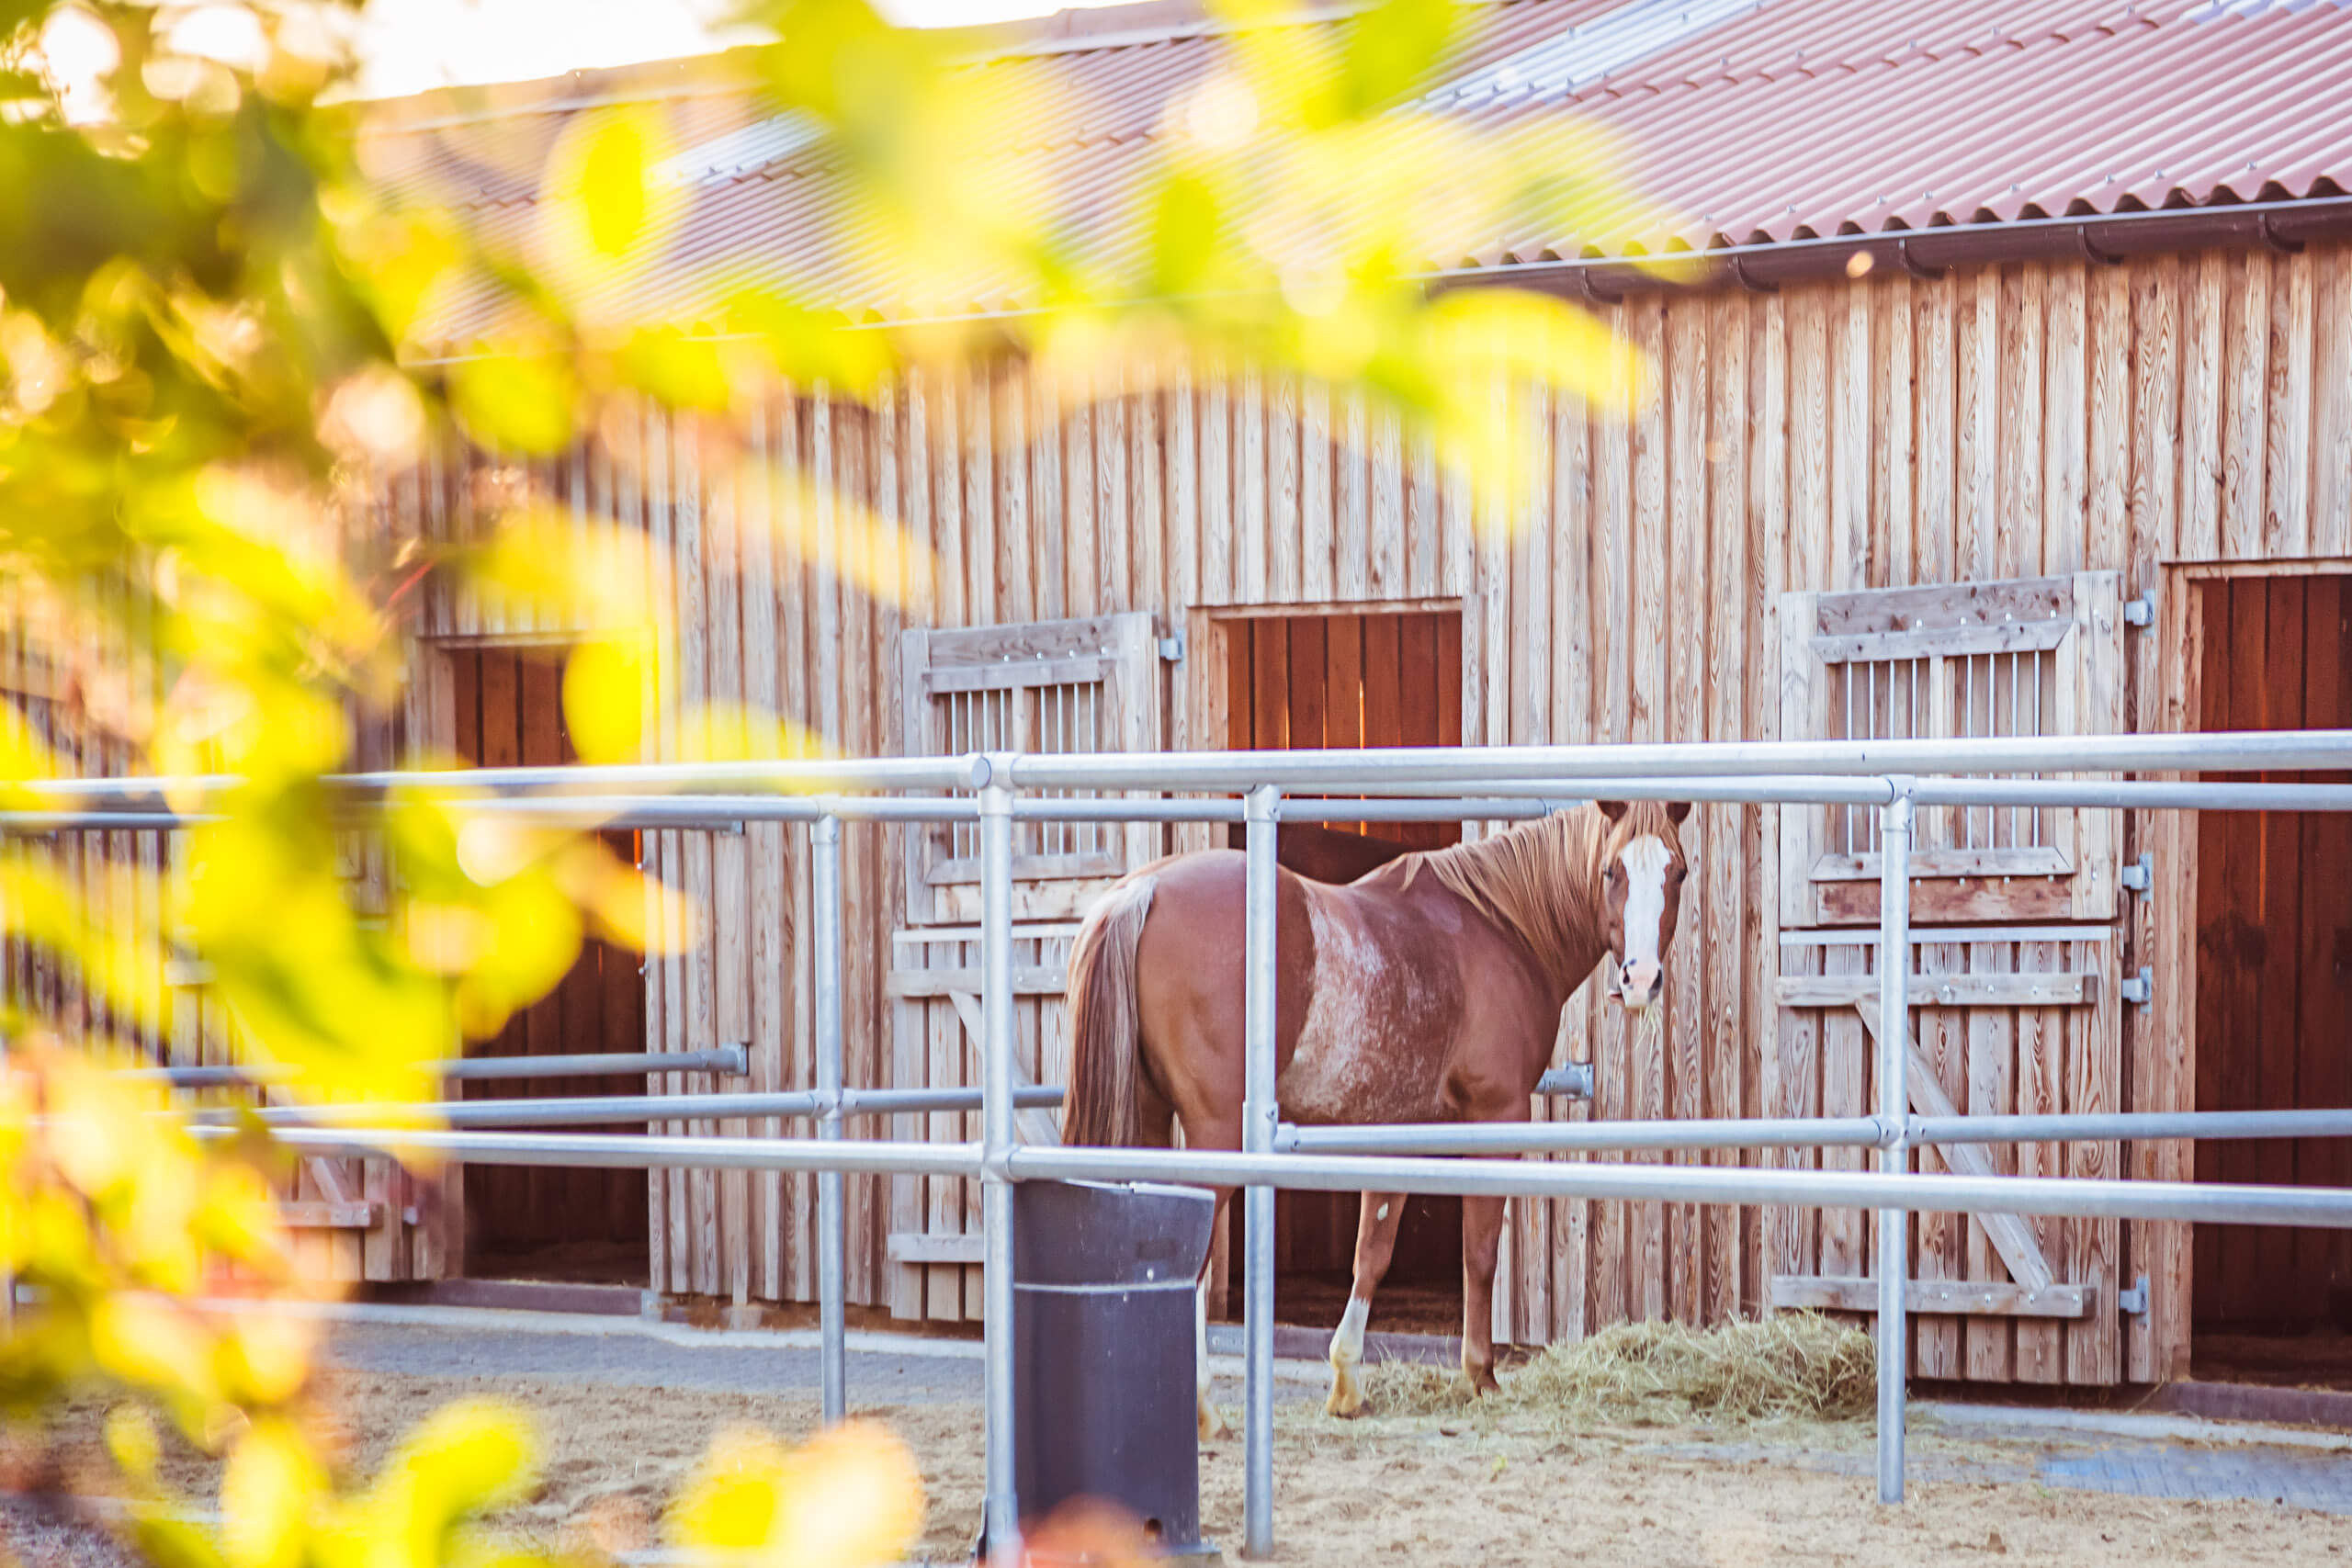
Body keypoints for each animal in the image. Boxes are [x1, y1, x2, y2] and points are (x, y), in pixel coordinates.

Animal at [1068, 804, 1693, 1429]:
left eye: (1678, 872)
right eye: (1611, 871)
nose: (1640, 980)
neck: (1499, 930)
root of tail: (1143, 891)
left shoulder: (1397, 1131)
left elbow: (1372, 1251)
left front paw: (1347, 1383)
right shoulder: (1496, 1117)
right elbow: (1479, 1252)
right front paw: (1481, 1375)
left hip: (1148, 1116)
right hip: (1214, 1137)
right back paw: (1202, 1409)